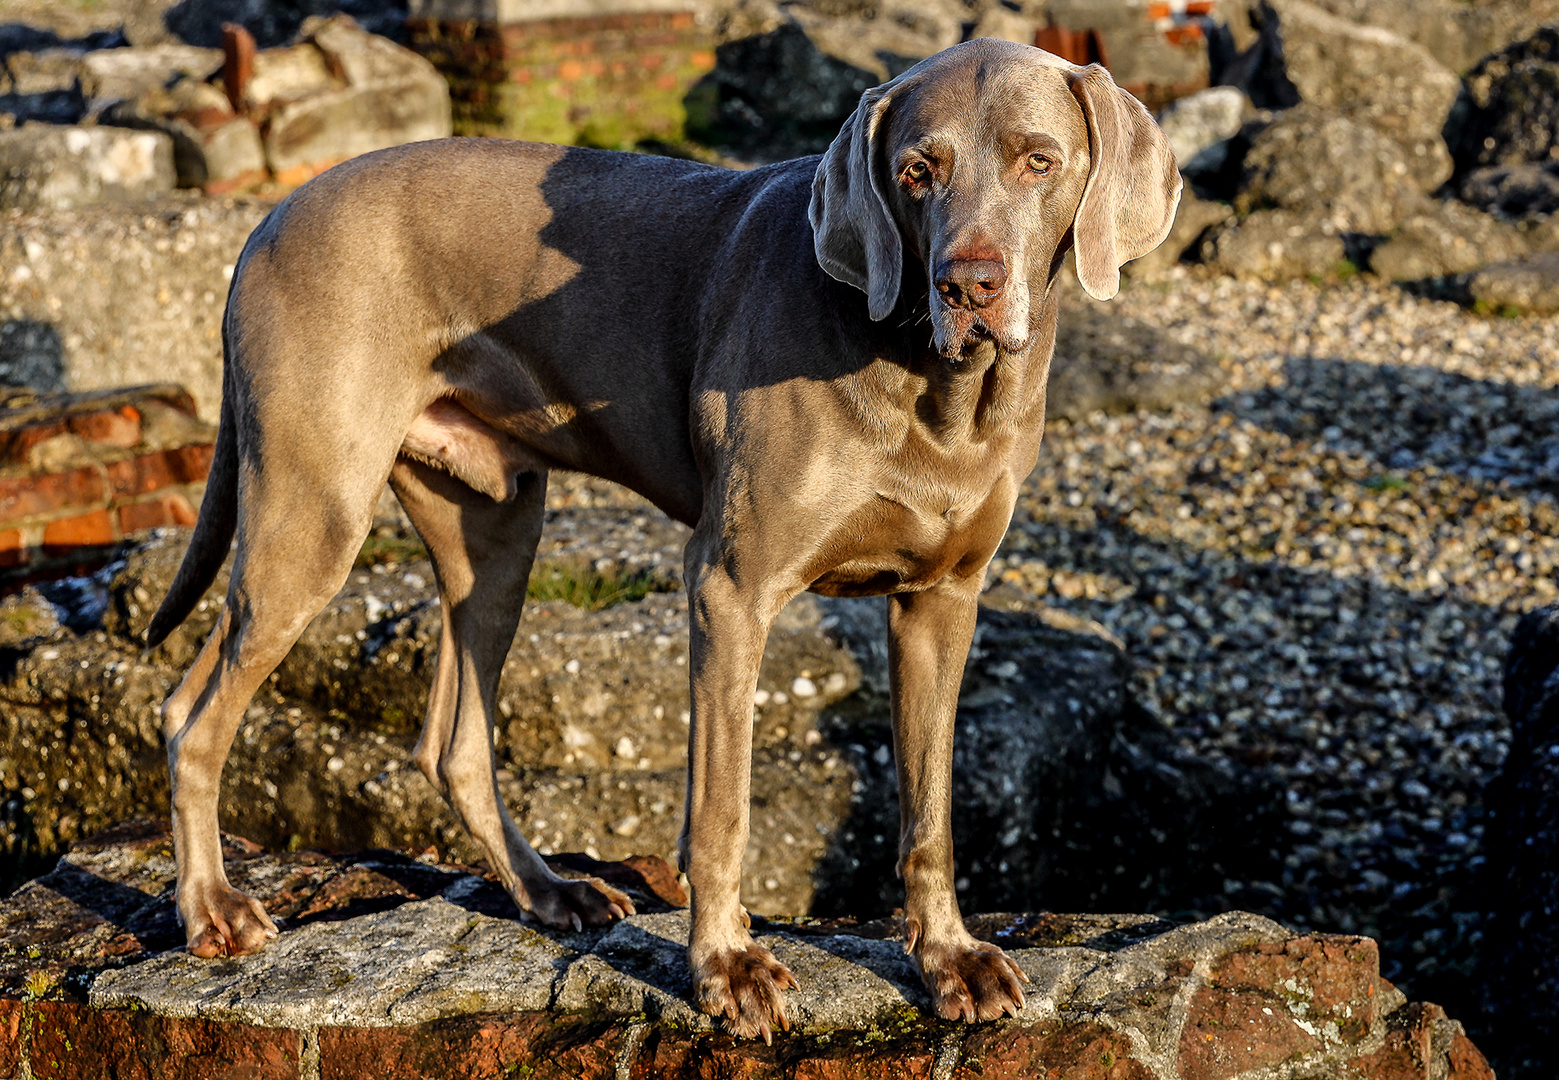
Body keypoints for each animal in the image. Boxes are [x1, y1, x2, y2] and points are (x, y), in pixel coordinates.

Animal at [146, 39, 1172, 1034]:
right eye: (917, 171)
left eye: (1039, 161)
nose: (967, 283)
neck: (937, 389)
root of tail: (268, 219)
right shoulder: (730, 588)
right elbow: (720, 809)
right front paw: (725, 967)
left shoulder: (941, 600)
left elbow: (929, 810)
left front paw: (948, 958)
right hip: (312, 513)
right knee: (190, 712)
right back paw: (213, 910)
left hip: (495, 532)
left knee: (453, 742)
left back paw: (550, 892)